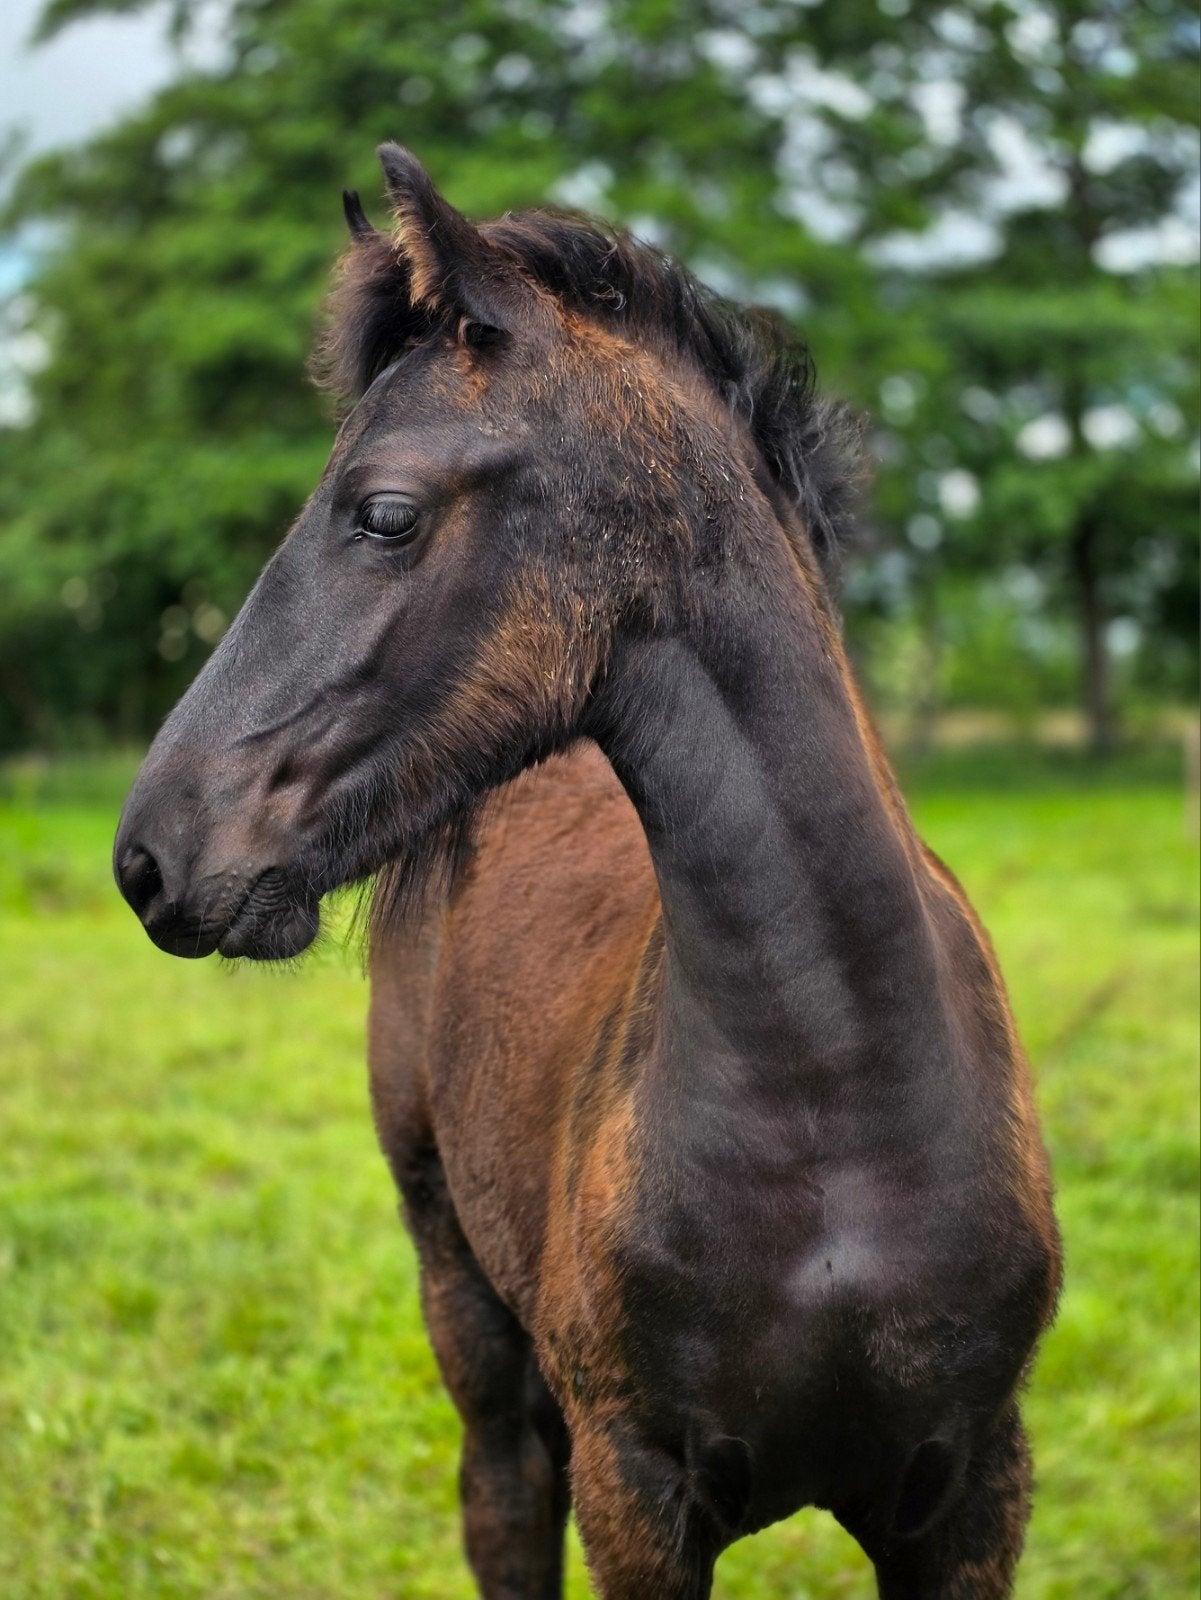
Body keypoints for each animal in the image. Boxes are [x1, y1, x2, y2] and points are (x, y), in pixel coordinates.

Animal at [114, 145, 1062, 1599]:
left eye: (383, 512)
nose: (152, 854)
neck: (837, 1112)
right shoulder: (640, 1490)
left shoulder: (970, 1491)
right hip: (460, 1283)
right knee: (504, 1498)